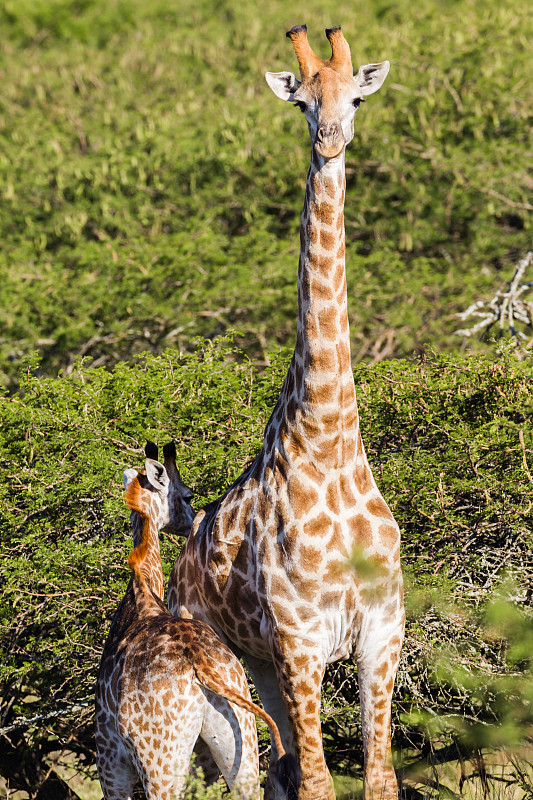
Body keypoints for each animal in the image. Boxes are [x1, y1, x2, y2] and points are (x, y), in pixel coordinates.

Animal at [95, 444, 300, 800]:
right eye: (189, 496)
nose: (192, 522)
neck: (140, 594)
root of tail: (200, 666)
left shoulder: (110, 761)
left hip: (159, 761)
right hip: (237, 742)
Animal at [168, 25, 406, 800]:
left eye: (355, 95)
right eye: (301, 100)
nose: (330, 139)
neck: (329, 440)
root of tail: (174, 573)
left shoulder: (382, 631)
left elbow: (378, 778)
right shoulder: (302, 640)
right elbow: (321, 784)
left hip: (263, 668)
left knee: (270, 771)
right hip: (228, 668)